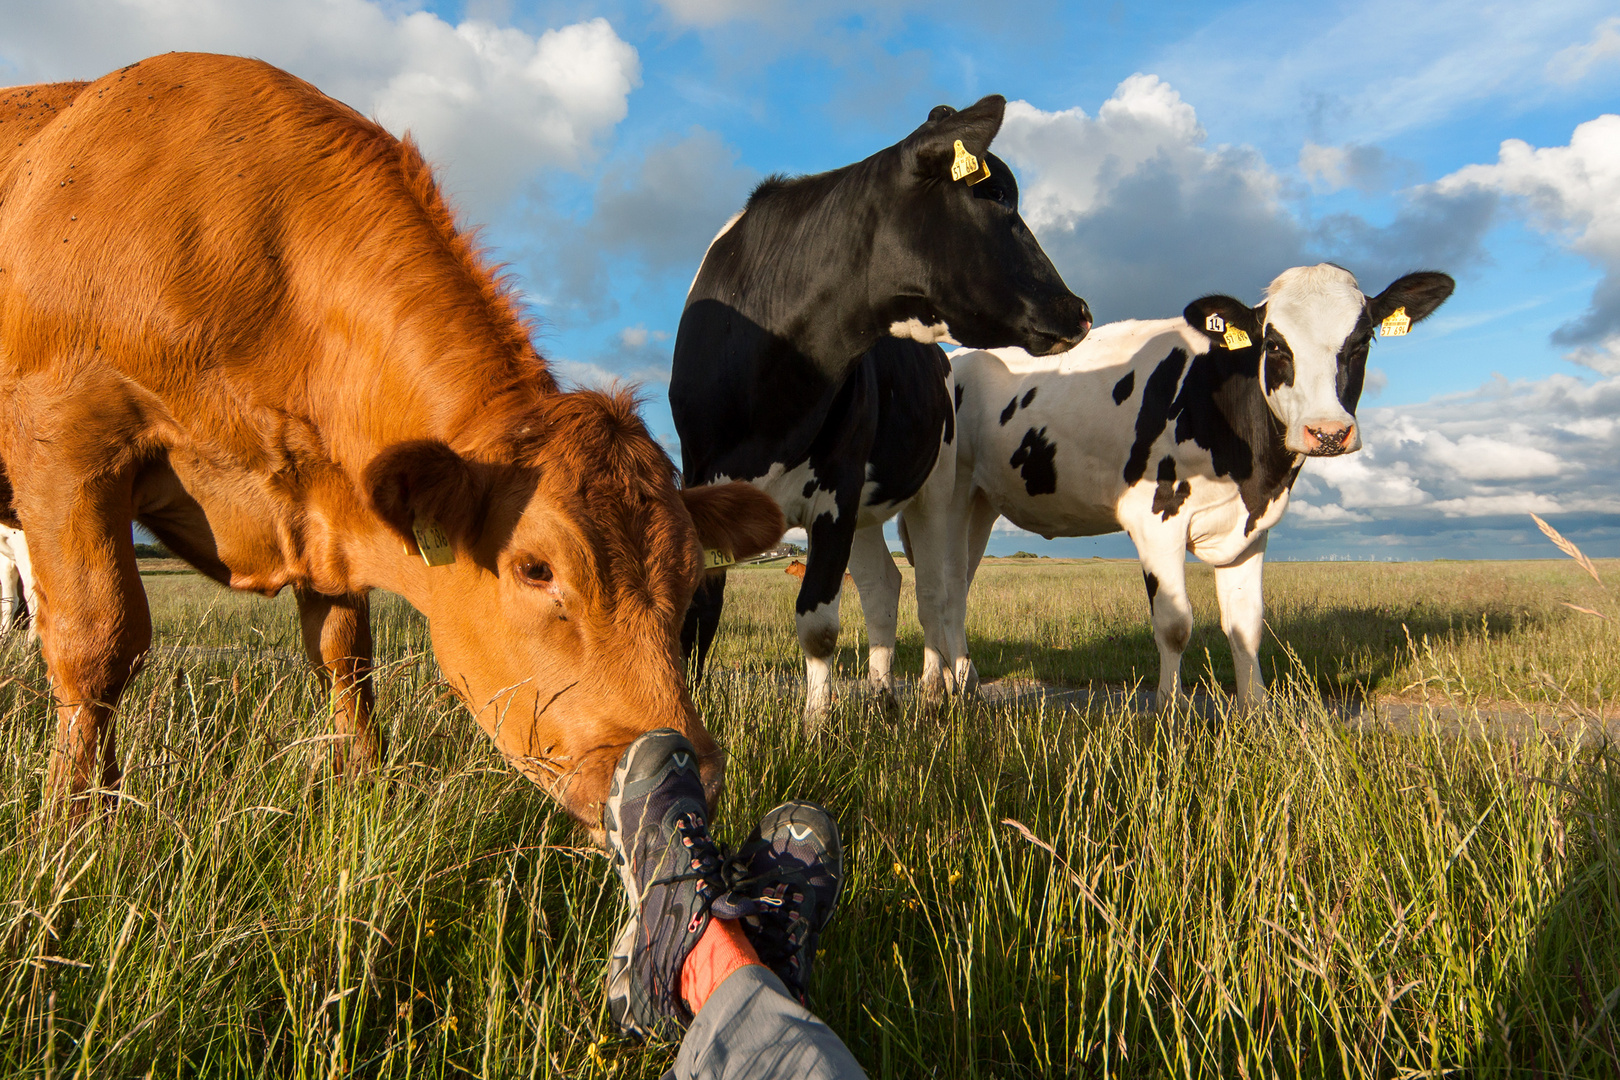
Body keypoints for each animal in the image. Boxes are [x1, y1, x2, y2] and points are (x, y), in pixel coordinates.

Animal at [0, 52, 784, 829]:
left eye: (690, 575)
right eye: (537, 569)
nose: (686, 771)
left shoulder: (323, 509)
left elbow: (346, 659)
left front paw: (362, 785)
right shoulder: (68, 440)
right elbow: (98, 642)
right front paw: (75, 822)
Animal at [670, 95, 1088, 725]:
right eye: (996, 196)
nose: (1078, 309)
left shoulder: (837, 490)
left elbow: (818, 622)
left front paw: (817, 727)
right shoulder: (705, 483)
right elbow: (702, 610)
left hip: (936, 486)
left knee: (937, 592)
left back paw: (938, 691)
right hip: (870, 508)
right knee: (883, 585)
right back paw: (882, 694)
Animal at [887, 265, 1458, 705]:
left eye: (1361, 342)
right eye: (1274, 344)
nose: (1328, 432)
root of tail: (955, 356)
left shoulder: (1251, 529)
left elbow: (1247, 625)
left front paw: (1257, 713)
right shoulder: (1154, 519)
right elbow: (1175, 625)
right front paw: (1168, 712)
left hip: (982, 502)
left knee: (959, 584)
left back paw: (965, 684)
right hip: (945, 497)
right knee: (938, 585)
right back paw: (938, 688)